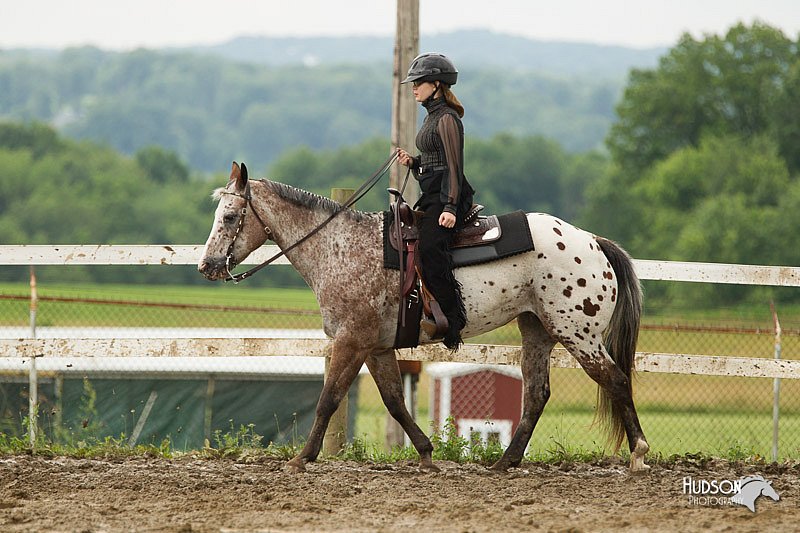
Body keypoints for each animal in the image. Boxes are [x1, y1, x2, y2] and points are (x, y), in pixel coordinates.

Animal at [198, 160, 648, 472]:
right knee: (537, 394)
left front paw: (303, 457)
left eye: (230, 216)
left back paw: (639, 455)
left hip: (579, 334)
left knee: (615, 380)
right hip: (537, 330)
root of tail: (593, 241)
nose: (207, 265)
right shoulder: (376, 347)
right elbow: (394, 401)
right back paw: (505, 462)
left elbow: (329, 398)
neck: (340, 248)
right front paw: (428, 453)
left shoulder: (351, 341)